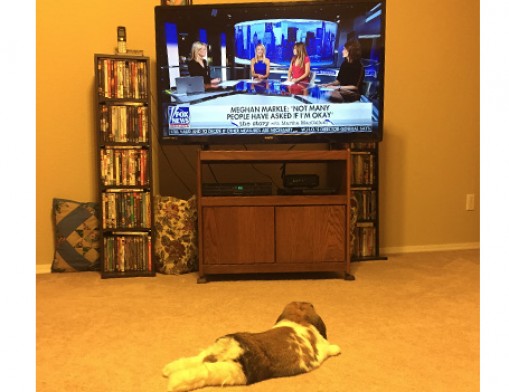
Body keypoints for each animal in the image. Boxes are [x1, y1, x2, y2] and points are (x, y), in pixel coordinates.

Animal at [161, 302, 340, 390]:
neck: (298, 319)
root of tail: (234, 348)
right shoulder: (321, 349)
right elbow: (330, 348)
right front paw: (338, 349)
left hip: (213, 355)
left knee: (198, 360)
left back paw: (168, 370)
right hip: (232, 371)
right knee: (204, 371)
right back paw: (174, 382)